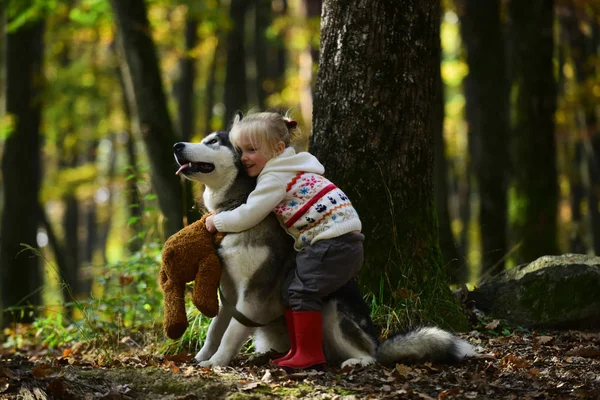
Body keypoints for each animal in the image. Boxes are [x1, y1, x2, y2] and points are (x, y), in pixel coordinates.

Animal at [173, 129, 478, 368]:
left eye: (213, 141)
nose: (176, 146)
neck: (237, 203)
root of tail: (377, 342)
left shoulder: (253, 294)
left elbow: (231, 332)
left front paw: (217, 362)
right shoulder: (229, 293)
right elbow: (215, 330)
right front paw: (201, 357)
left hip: (334, 313)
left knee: (368, 356)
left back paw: (355, 360)